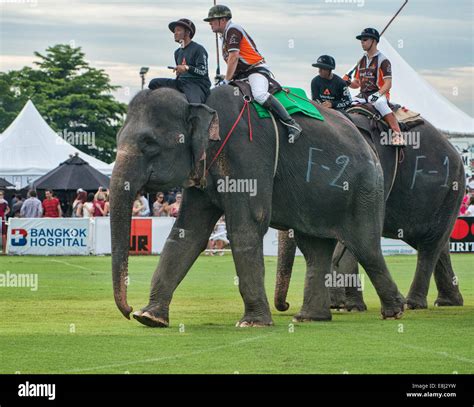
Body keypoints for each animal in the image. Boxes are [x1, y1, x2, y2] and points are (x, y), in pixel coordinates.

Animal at [109, 86, 406, 328]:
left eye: (149, 144)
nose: (128, 310)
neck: (202, 102)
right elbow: (188, 232)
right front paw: (150, 318)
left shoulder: (247, 153)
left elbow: (247, 225)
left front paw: (252, 323)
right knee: (315, 248)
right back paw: (310, 317)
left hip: (365, 189)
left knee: (365, 246)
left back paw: (395, 312)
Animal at [274, 113, 462, 314]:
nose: (286, 305)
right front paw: (340, 305)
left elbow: (350, 239)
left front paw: (348, 306)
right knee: (436, 242)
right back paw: (447, 302)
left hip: (450, 190)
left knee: (430, 244)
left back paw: (413, 303)